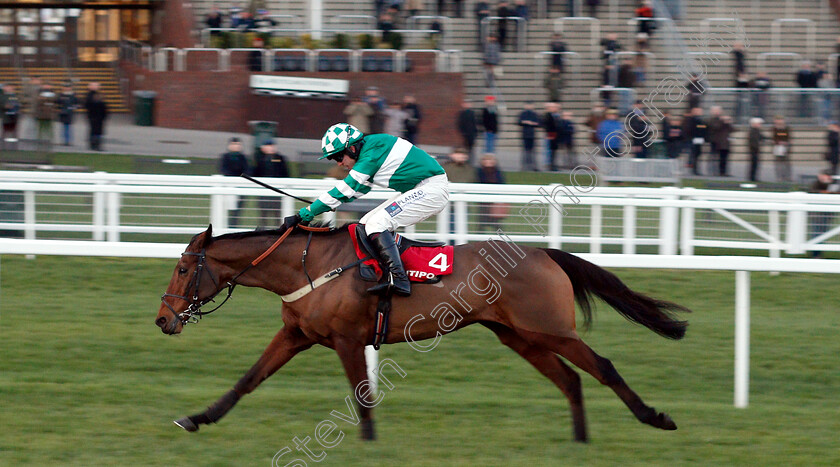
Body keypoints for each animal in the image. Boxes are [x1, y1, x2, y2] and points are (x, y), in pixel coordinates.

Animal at [156, 225, 688, 444]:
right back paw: (579, 440)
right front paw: (196, 418)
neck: (310, 265)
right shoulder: (295, 335)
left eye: (182, 268)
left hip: (549, 328)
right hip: (519, 336)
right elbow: (247, 380)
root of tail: (544, 252)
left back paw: (656, 418)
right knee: (571, 380)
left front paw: (369, 442)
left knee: (602, 367)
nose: (162, 319)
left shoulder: (348, 340)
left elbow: (361, 392)